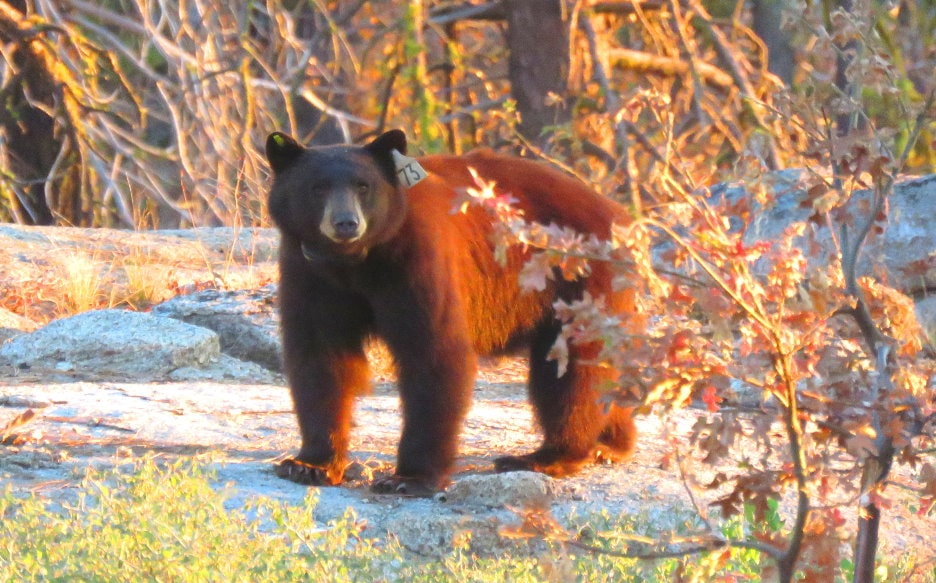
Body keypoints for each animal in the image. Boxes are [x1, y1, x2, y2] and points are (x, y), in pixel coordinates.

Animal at [266, 130, 640, 496]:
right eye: (317, 187)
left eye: (363, 186)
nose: (345, 223)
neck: (353, 262)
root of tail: (618, 214)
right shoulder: (309, 272)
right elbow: (318, 356)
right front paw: (310, 463)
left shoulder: (416, 259)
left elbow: (433, 351)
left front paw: (409, 477)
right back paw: (610, 444)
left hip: (578, 276)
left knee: (574, 370)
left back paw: (548, 456)